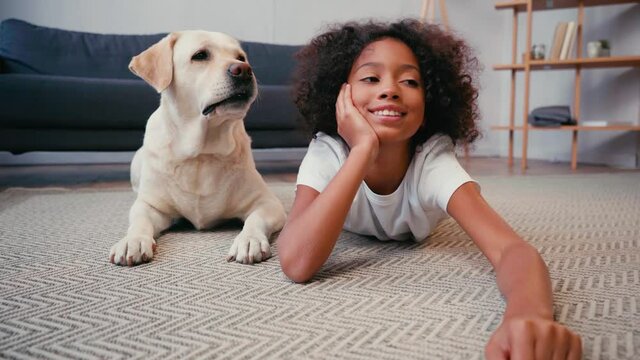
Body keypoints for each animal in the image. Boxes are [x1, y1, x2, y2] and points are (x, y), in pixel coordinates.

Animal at [110, 31, 284, 266]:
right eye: (200, 55)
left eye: (240, 57)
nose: (245, 70)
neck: (202, 152)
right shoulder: (150, 205)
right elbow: (139, 221)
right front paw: (133, 241)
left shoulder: (268, 202)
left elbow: (256, 219)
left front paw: (249, 240)